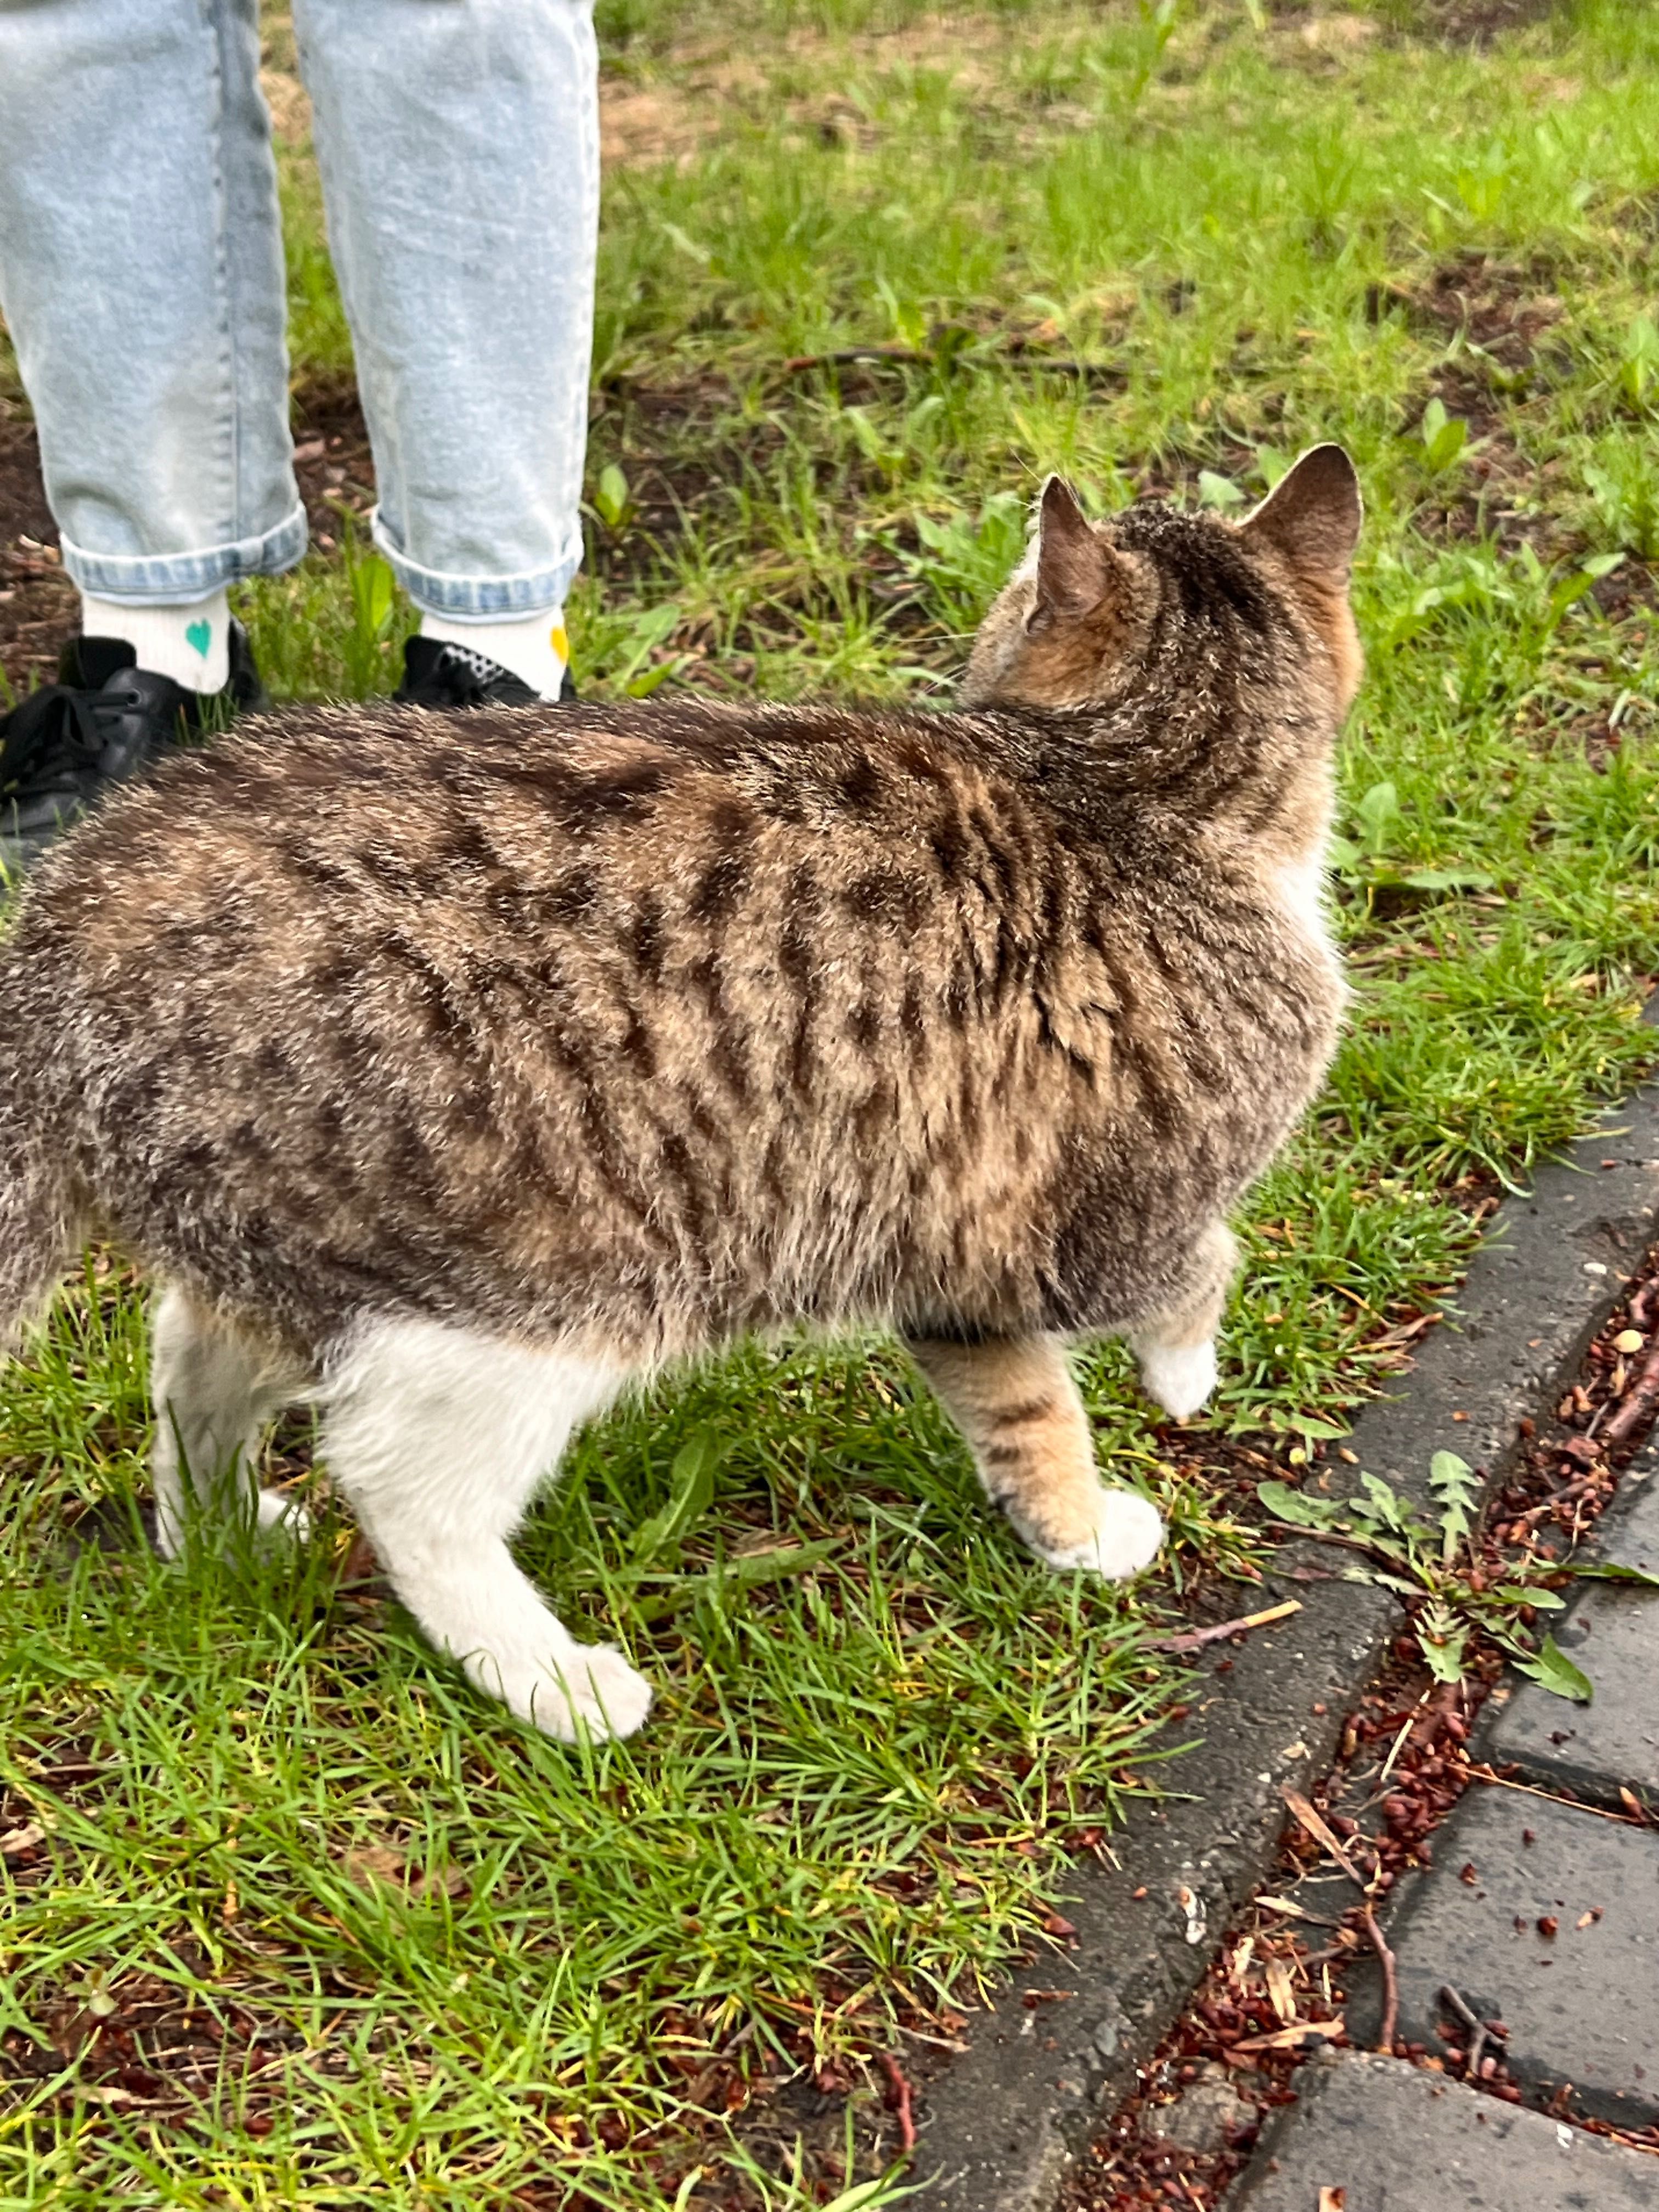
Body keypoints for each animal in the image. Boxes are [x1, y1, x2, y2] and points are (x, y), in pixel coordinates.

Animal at [0, 440, 1362, 1734]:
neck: (1136, 791)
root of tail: (69, 914)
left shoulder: (954, 1235)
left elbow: (1024, 1411)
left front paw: (1068, 1532)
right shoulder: (1105, 1219)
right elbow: (1200, 1268)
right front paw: (1185, 1382)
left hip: (296, 1241)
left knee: (189, 1361)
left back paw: (217, 1538)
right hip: (540, 1291)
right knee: (396, 1482)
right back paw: (554, 1684)